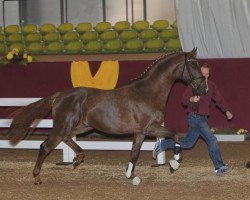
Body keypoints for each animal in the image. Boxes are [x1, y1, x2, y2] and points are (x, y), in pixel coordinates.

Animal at [7, 48, 207, 184]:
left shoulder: (140, 132)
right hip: (63, 126)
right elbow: (175, 134)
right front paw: (175, 163)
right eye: (193, 64)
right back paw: (37, 177)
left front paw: (130, 175)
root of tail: (60, 95)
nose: (203, 88)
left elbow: (134, 153)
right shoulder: (150, 128)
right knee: (45, 146)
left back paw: (78, 159)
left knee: (66, 139)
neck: (148, 92)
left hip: (82, 126)